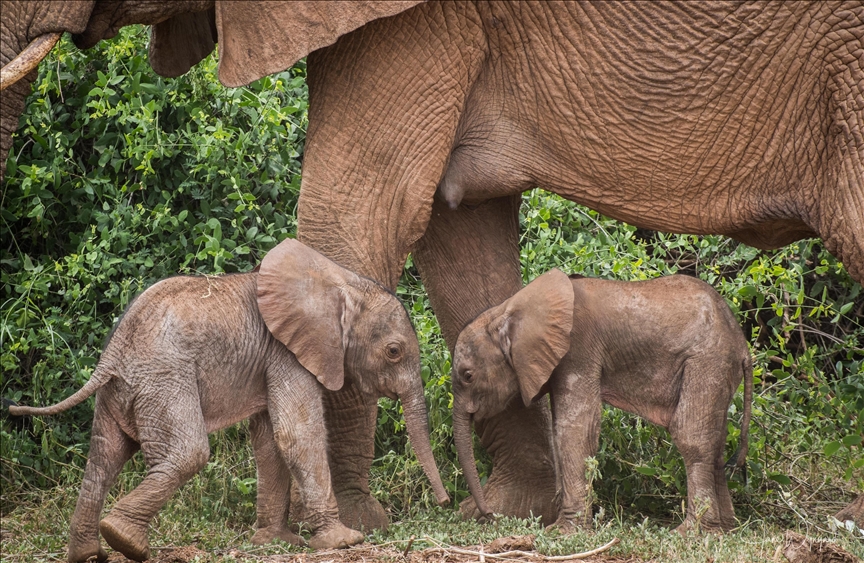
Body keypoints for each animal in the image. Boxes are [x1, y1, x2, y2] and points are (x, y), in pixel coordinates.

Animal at [10, 239, 448, 563]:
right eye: (394, 351)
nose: (445, 502)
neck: (340, 283)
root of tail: (112, 353)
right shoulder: (286, 353)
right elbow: (297, 434)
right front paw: (343, 541)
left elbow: (270, 442)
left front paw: (277, 542)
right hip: (164, 379)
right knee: (187, 452)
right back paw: (125, 541)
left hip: (123, 389)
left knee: (104, 456)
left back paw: (90, 553)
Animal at [452, 270, 748, 536]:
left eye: (467, 376)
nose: (489, 515)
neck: (507, 310)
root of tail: (742, 343)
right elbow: (560, 428)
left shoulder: (578, 350)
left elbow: (574, 432)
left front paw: (564, 532)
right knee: (716, 443)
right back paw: (724, 530)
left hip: (708, 360)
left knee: (691, 437)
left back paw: (692, 532)